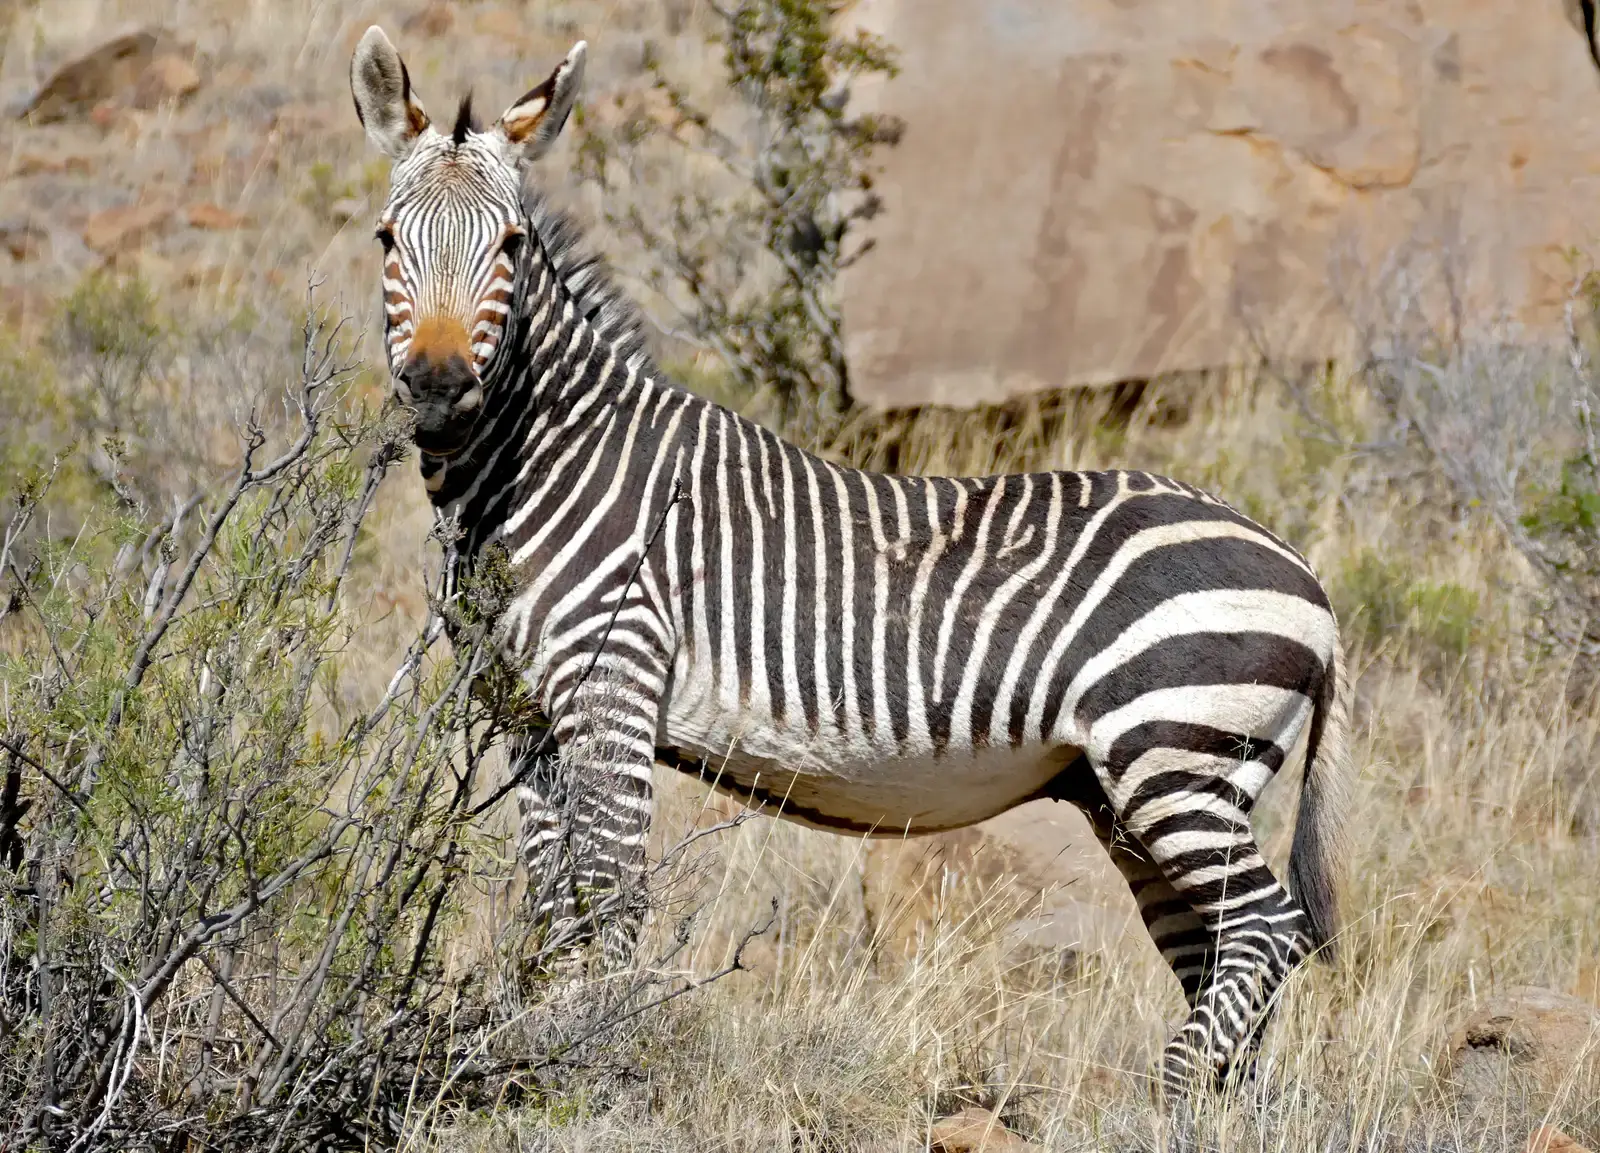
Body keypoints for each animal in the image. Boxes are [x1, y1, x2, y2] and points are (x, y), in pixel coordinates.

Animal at [348, 26, 1353, 1095]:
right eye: (386, 241)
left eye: (508, 246)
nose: (439, 388)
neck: (550, 462)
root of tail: (1306, 574)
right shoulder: (520, 710)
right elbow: (554, 905)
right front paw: (533, 1052)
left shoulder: (613, 682)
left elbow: (613, 896)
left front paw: (592, 1064)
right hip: (1134, 788)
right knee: (1217, 952)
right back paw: (1199, 1107)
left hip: (1172, 753)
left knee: (1270, 927)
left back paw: (1164, 1089)